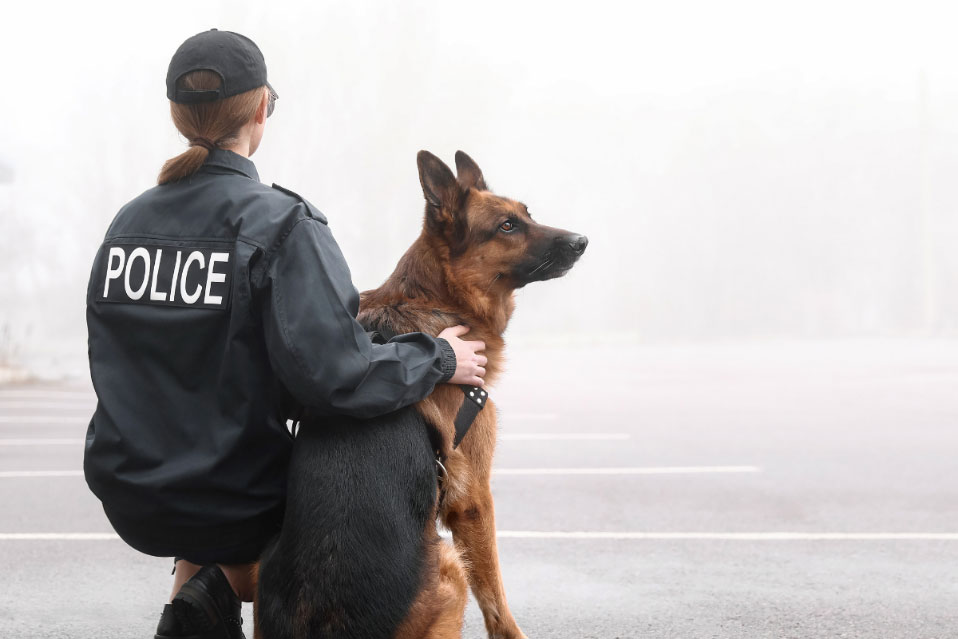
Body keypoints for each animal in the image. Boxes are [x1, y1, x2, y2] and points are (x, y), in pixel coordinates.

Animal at [256, 152, 584, 636]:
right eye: (507, 226)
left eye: (527, 214)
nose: (583, 241)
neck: (440, 300)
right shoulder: (473, 500)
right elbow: (496, 597)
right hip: (449, 568)